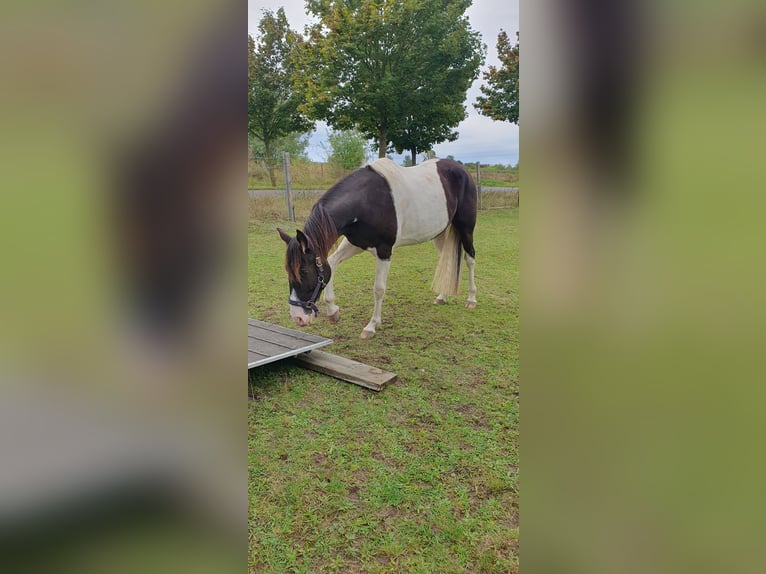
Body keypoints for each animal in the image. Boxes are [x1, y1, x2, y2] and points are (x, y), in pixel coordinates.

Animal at [277, 157, 477, 339]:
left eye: (303, 272)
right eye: (288, 272)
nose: (298, 318)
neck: (366, 201)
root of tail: (463, 171)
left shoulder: (384, 250)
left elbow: (379, 289)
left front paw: (371, 326)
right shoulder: (355, 244)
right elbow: (331, 264)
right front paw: (333, 311)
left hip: (465, 229)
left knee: (469, 259)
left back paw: (471, 299)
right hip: (440, 233)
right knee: (448, 261)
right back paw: (442, 296)